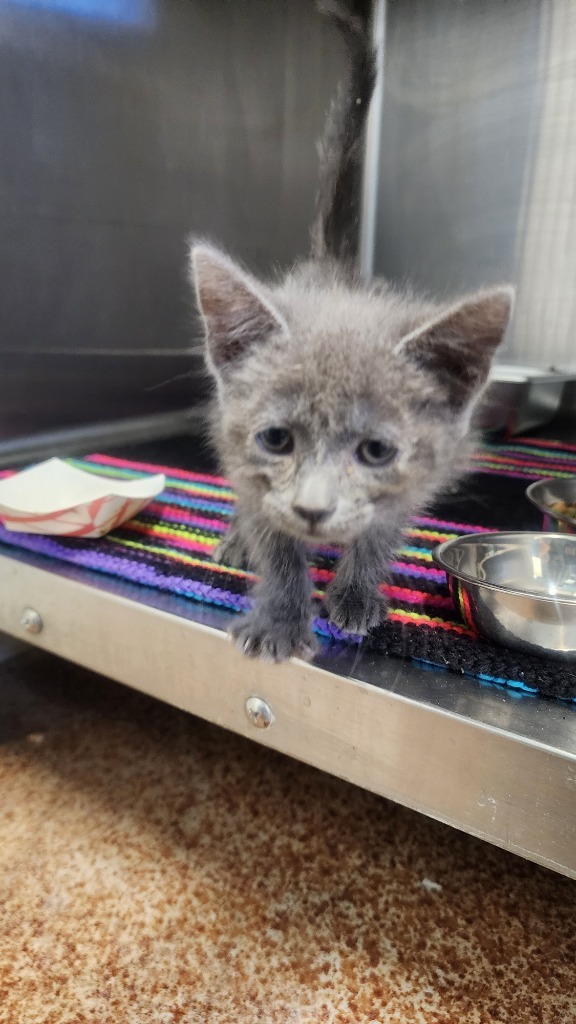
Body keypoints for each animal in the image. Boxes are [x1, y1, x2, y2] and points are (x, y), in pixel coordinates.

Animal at [187, 0, 510, 663]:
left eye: (376, 451)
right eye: (277, 440)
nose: (313, 508)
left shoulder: (414, 479)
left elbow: (379, 533)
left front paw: (356, 593)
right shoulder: (252, 466)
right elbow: (278, 545)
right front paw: (280, 619)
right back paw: (235, 538)